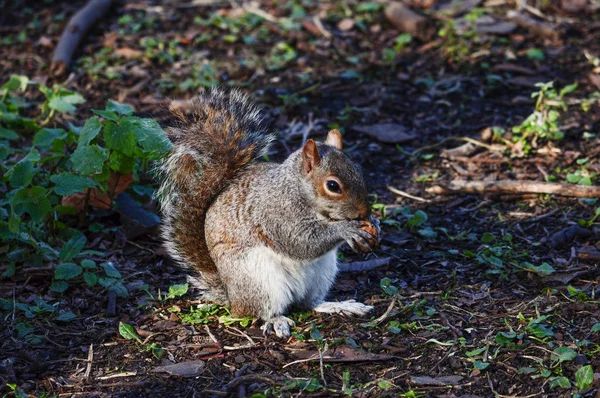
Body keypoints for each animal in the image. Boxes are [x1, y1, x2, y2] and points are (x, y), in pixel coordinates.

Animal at [157, 88, 378, 338]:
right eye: (333, 186)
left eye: (358, 170)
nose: (364, 211)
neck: (295, 188)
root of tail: (231, 297)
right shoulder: (275, 214)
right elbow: (301, 241)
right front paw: (347, 229)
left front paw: (373, 223)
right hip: (259, 280)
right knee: (258, 312)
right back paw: (277, 320)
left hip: (323, 273)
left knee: (309, 303)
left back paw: (339, 306)